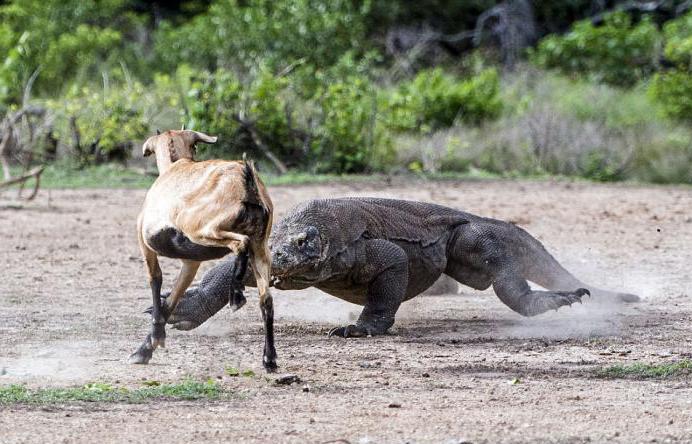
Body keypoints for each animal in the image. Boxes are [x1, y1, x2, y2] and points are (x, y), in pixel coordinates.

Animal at [127, 129, 276, 372]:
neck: (175, 167)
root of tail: (246, 181)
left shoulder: (146, 245)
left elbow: (155, 281)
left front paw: (146, 347)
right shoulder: (191, 262)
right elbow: (173, 298)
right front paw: (147, 347)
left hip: (202, 228)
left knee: (240, 243)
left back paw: (236, 296)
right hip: (260, 247)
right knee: (266, 300)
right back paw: (269, 359)